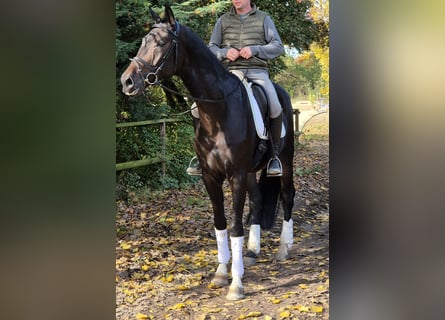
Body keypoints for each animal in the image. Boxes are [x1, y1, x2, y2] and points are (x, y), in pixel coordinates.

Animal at [121, 5, 294, 300]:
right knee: (258, 200)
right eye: (143, 41)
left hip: (285, 161)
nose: (127, 81)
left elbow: (234, 225)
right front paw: (222, 273)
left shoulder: (235, 175)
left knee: (287, 195)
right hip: (251, 171)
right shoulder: (210, 176)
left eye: (161, 43)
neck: (219, 111)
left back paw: (284, 247)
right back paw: (252, 251)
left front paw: (236, 284)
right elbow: (220, 222)